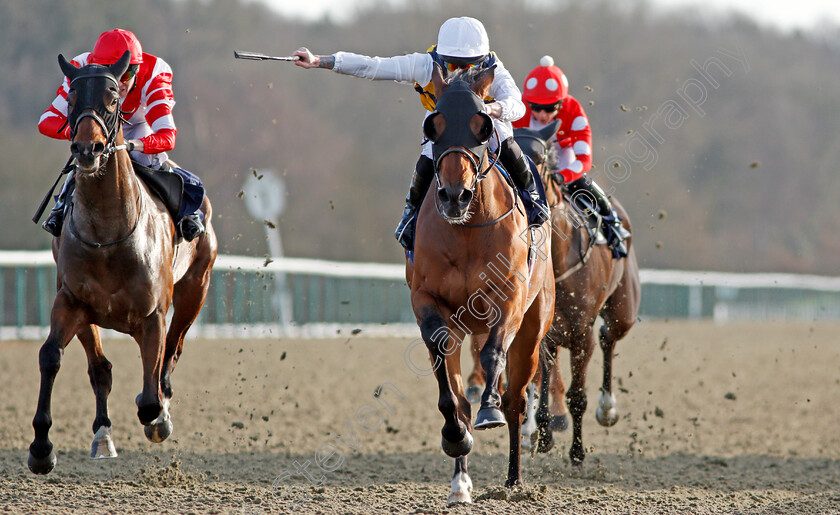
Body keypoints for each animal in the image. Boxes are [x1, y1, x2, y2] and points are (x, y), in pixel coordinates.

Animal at [29, 52, 218, 476]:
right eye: (71, 98)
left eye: (113, 98)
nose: (88, 149)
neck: (108, 235)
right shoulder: (70, 301)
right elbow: (51, 356)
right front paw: (41, 447)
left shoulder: (152, 315)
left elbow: (149, 396)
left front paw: (159, 418)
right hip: (91, 316)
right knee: (101, 369)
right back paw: (102, 436)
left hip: (194, 290)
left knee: (171, 354)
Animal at [406, 63, 556, 504]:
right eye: (434, 125)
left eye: (481, 124)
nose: (454, 196)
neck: (468, 229)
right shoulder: (428, 300)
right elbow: (451, 389)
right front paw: (456, 436)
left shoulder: (509, 298)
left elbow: (493, 357)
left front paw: (489, 408)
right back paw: (461, 483)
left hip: (533, 328)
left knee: (517, 398)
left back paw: (513, 480)